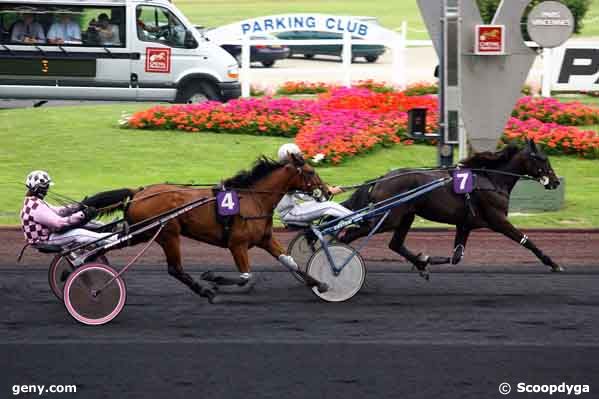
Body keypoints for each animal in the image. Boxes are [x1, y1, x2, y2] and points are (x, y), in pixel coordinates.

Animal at [83, 155, 328, 304]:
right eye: (310, 171)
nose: (326, 191)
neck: (253, 199)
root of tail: (138, 192)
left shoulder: (265, 239)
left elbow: (291, 262)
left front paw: (320, 283)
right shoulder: (237, 244)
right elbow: (246, 276)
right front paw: (213, 278)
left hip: (142, 233)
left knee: (107, 244)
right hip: (167, 233)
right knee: (175, 269)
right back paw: (206, 291)